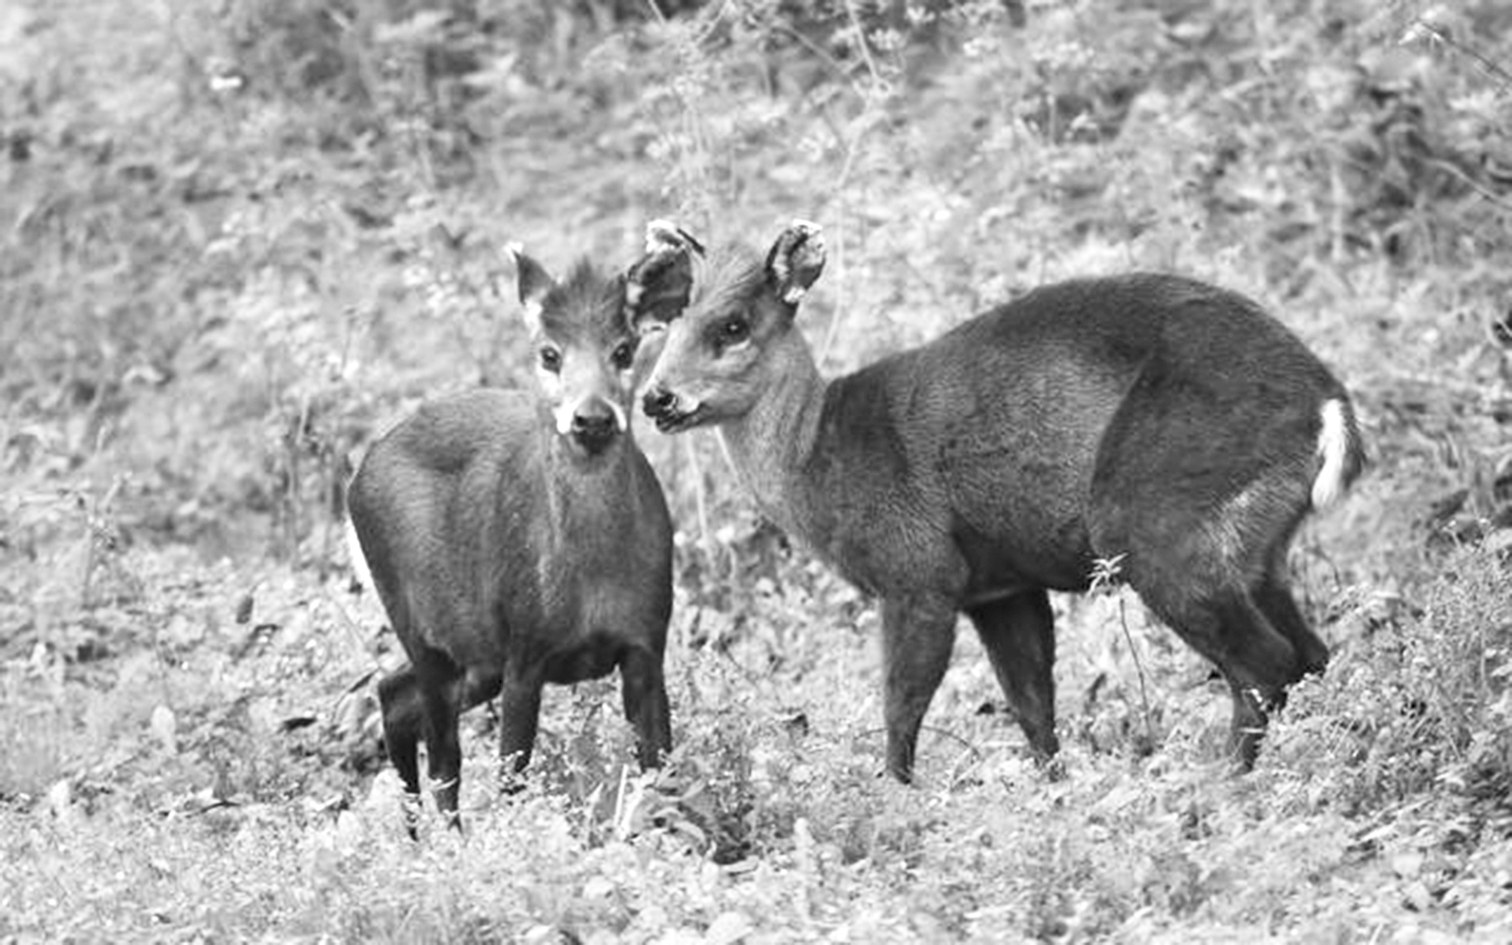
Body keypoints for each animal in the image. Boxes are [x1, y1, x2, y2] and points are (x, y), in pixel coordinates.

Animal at [346, 233, 698, 833]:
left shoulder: (647, 643)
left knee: (393, 695)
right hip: (421, 623)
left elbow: (661, 770)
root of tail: (356, 478)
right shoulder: (526, 651)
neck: (593, 579)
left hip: (474, 651)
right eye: (549, 353)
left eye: (624, 350)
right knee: (444, 757)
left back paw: (415, 835)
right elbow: (512, 781)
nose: (592, 418)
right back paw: (445, 842)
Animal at [639, 220, 1364, 784]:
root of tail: (1325, 404)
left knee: (1266, 664)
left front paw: (893, 795)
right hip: (1255, 551)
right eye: (669, 321)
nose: (656, 398)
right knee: (1313, 655)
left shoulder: (919, 572)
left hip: (1156, 521)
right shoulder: (1000, 586)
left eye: (732, 325)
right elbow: (1032, 704)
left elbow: (902, 702)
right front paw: (1053, 792)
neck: (817, 454)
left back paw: (1219, 785)